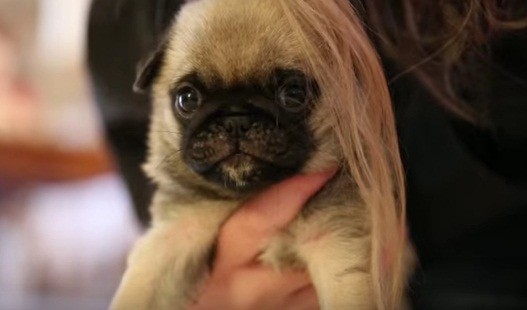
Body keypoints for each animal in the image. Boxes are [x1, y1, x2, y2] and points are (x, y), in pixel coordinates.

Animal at [109, 0, 410, 308]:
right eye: (187, 99)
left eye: (293, 94)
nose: (235, 120)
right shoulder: (177, 232)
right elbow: (140, 289)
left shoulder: (336, 244)